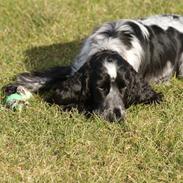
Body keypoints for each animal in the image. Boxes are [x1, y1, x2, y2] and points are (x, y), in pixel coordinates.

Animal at [3, 14, 183, 122]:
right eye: (100, 87)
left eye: (124, 87)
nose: (115, 116)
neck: (109, 44)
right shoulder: (77, 66)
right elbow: (48, 77)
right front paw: (18, 86)